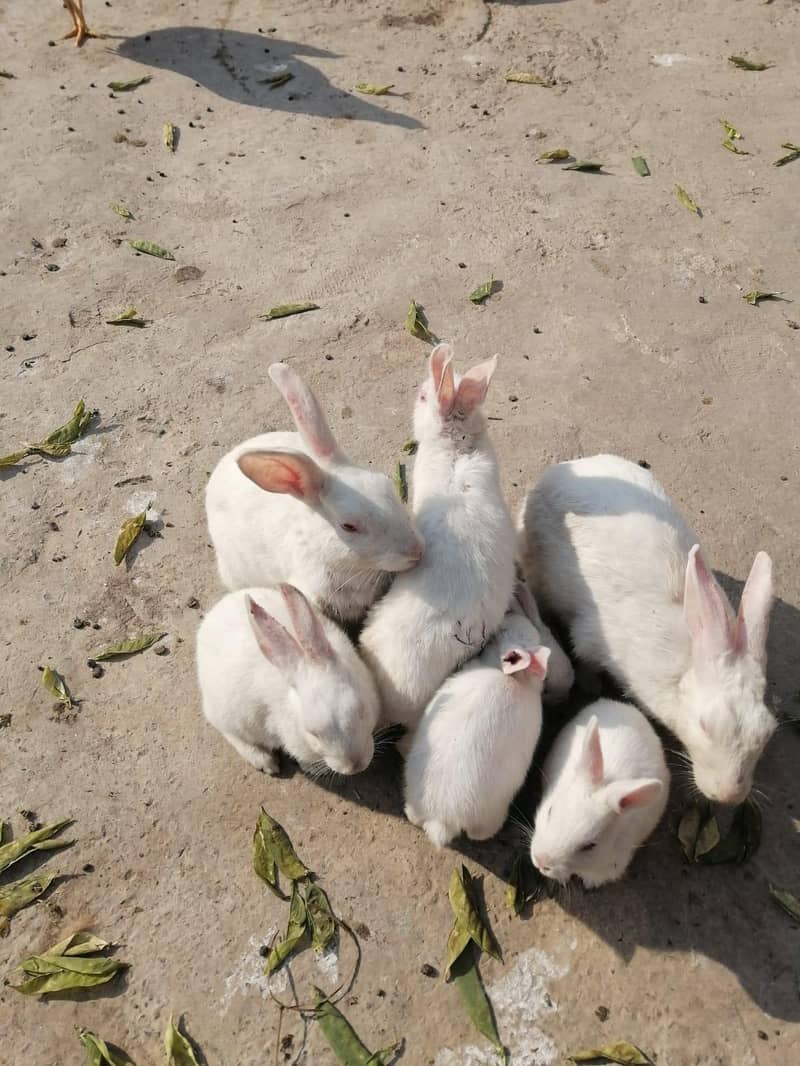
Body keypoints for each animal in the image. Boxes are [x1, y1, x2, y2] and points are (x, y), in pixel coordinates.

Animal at [196, 583, 380, 775]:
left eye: (361, 711)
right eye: (313, 733)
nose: (354, 766)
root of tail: (213, 614)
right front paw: (310, 768)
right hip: (231, 717)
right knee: (232, 735)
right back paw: (266, 762)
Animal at [519, 454, 775, 805]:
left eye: (766, 733)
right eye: (705, 725)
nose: (727, 795)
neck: (688, 661)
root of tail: (562, 469)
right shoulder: (590, 640)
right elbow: (584, 660)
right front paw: (591, 685)